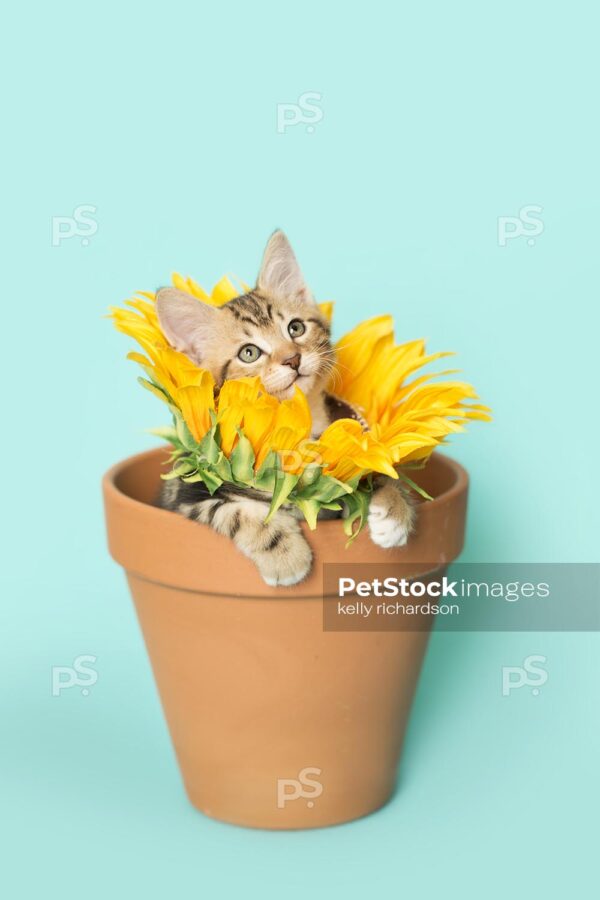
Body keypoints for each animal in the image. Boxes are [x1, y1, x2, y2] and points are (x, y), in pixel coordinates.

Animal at [157, 230, 414, 584]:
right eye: (249, 353)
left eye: (295, 328)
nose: (292, 359)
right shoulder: (186, 495)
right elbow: (235, 511)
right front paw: (286, 558)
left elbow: (374, 463)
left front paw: (394, 509)